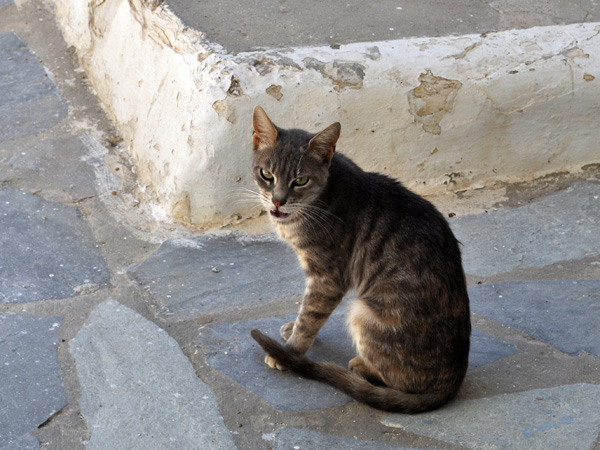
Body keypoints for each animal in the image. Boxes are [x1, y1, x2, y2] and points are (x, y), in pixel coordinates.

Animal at [248, 104, 468, 412]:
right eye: (266, 174)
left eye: (300, 180)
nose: (278, 201)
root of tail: (452, 383)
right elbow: (306, 313)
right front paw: (290, 334)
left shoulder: (327, 278)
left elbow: (309, 317)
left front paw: (288, 352)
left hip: (363, 313)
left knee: (397, 380)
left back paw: (360, 366)